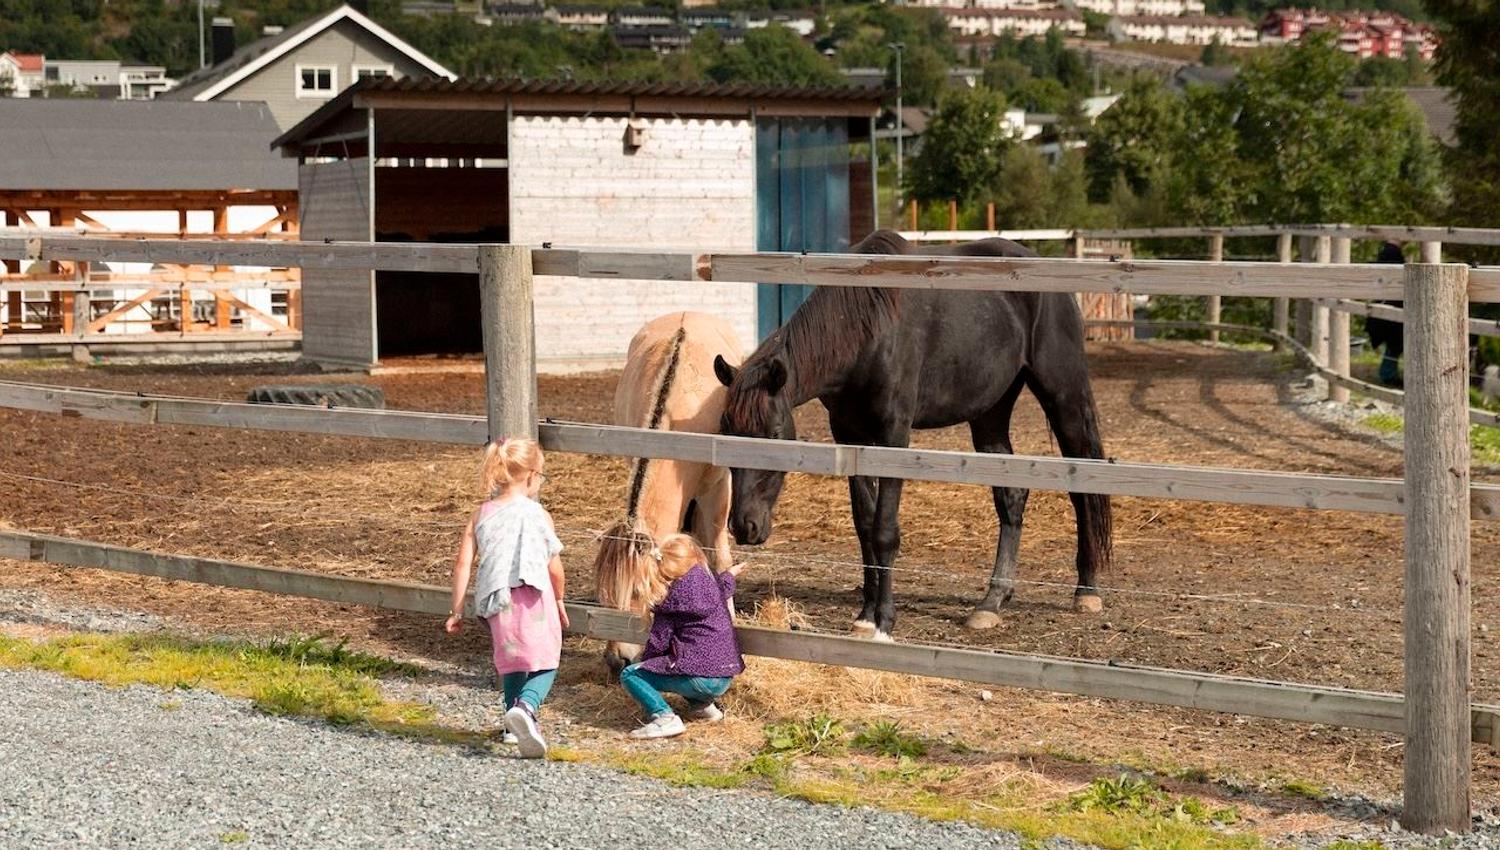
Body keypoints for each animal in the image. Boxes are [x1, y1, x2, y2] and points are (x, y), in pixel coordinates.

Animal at [712, 230, 1112, 641]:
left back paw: (1086, 590)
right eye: (725, 430)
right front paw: (865, 614)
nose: (744, 526)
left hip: (1063, 396)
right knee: (1011, 497)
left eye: (775, 432)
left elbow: (884, 530)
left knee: (1083, 488)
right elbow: (864, 525)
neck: (867, 328)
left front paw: (884, 620)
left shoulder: (894, 435)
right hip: (990, 415)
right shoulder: (848, 435)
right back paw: (992, 601)